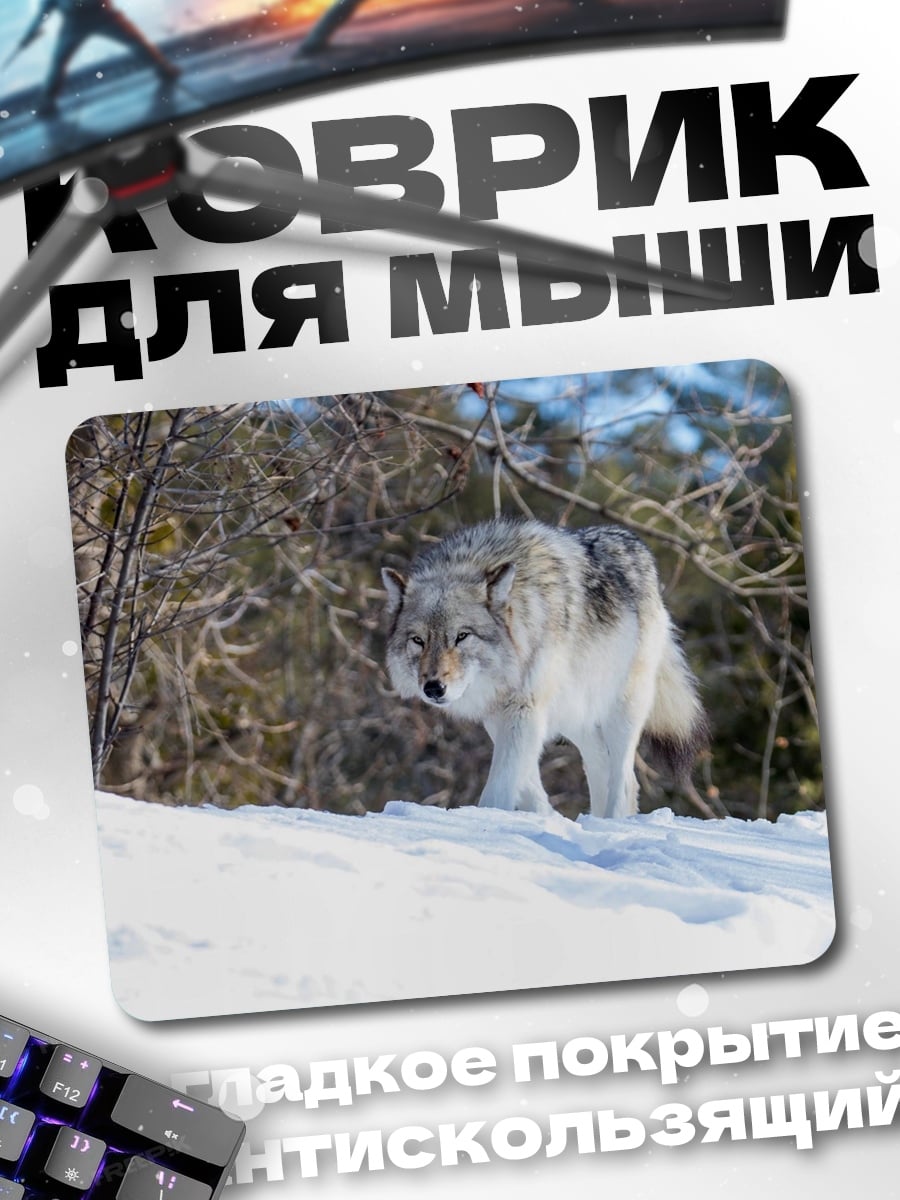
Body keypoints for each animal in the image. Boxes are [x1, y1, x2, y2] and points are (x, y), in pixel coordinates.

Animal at [382, 517, 706, 818]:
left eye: (462, 636)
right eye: (418, 640)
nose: (433, 688)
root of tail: (637, 544)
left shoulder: (523, 710)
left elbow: (499, 787)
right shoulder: (500, 717)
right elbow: (523, 781)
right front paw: (544, 817)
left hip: (623, 709)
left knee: (625, 781)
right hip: (577, 715)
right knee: (601, 769)